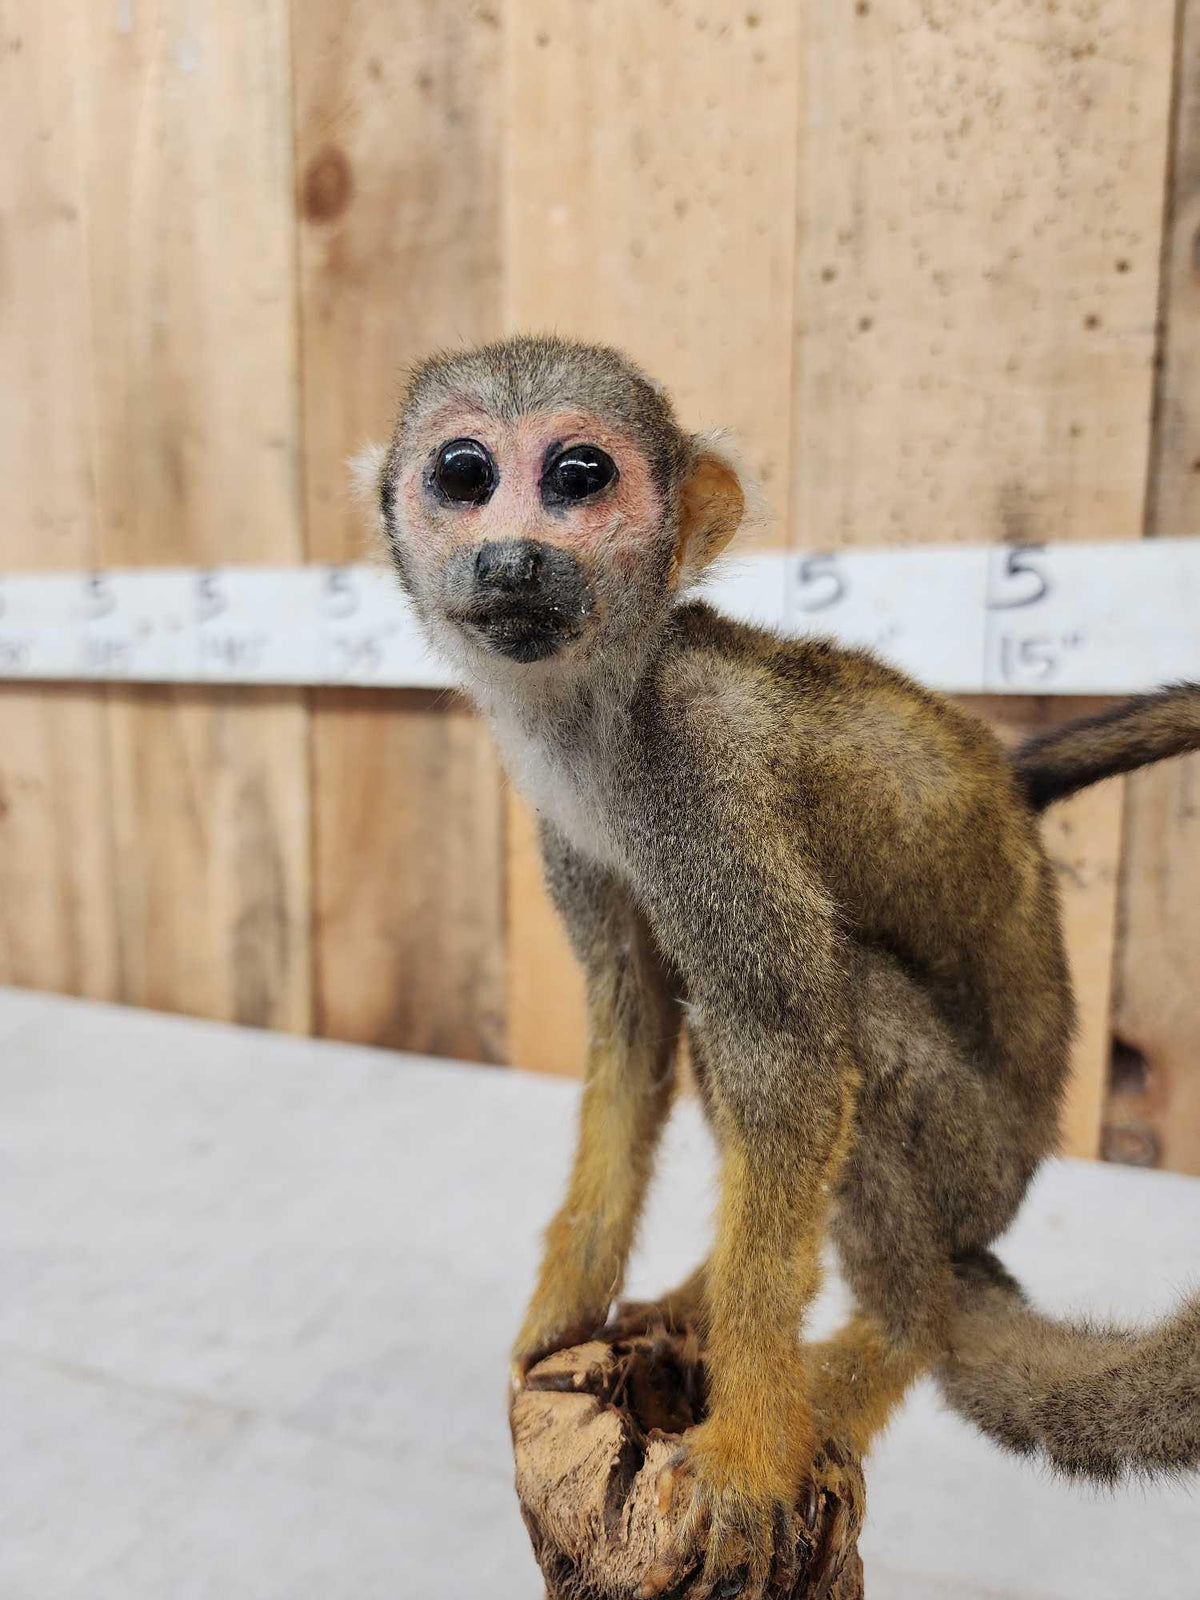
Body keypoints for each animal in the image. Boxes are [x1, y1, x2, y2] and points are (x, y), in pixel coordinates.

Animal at [363, 333, 1200, 1597]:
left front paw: (752, 1445)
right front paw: (562, 1312)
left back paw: (892, 1333)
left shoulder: (700, 773)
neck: (603, 708)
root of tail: (995, 1213)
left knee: (825, 1008)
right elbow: (634, 1027)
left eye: (578, 475)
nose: (512, 551)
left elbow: (787, 1041)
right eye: (462, 473)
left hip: (972, 1158)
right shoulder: (565, 816)